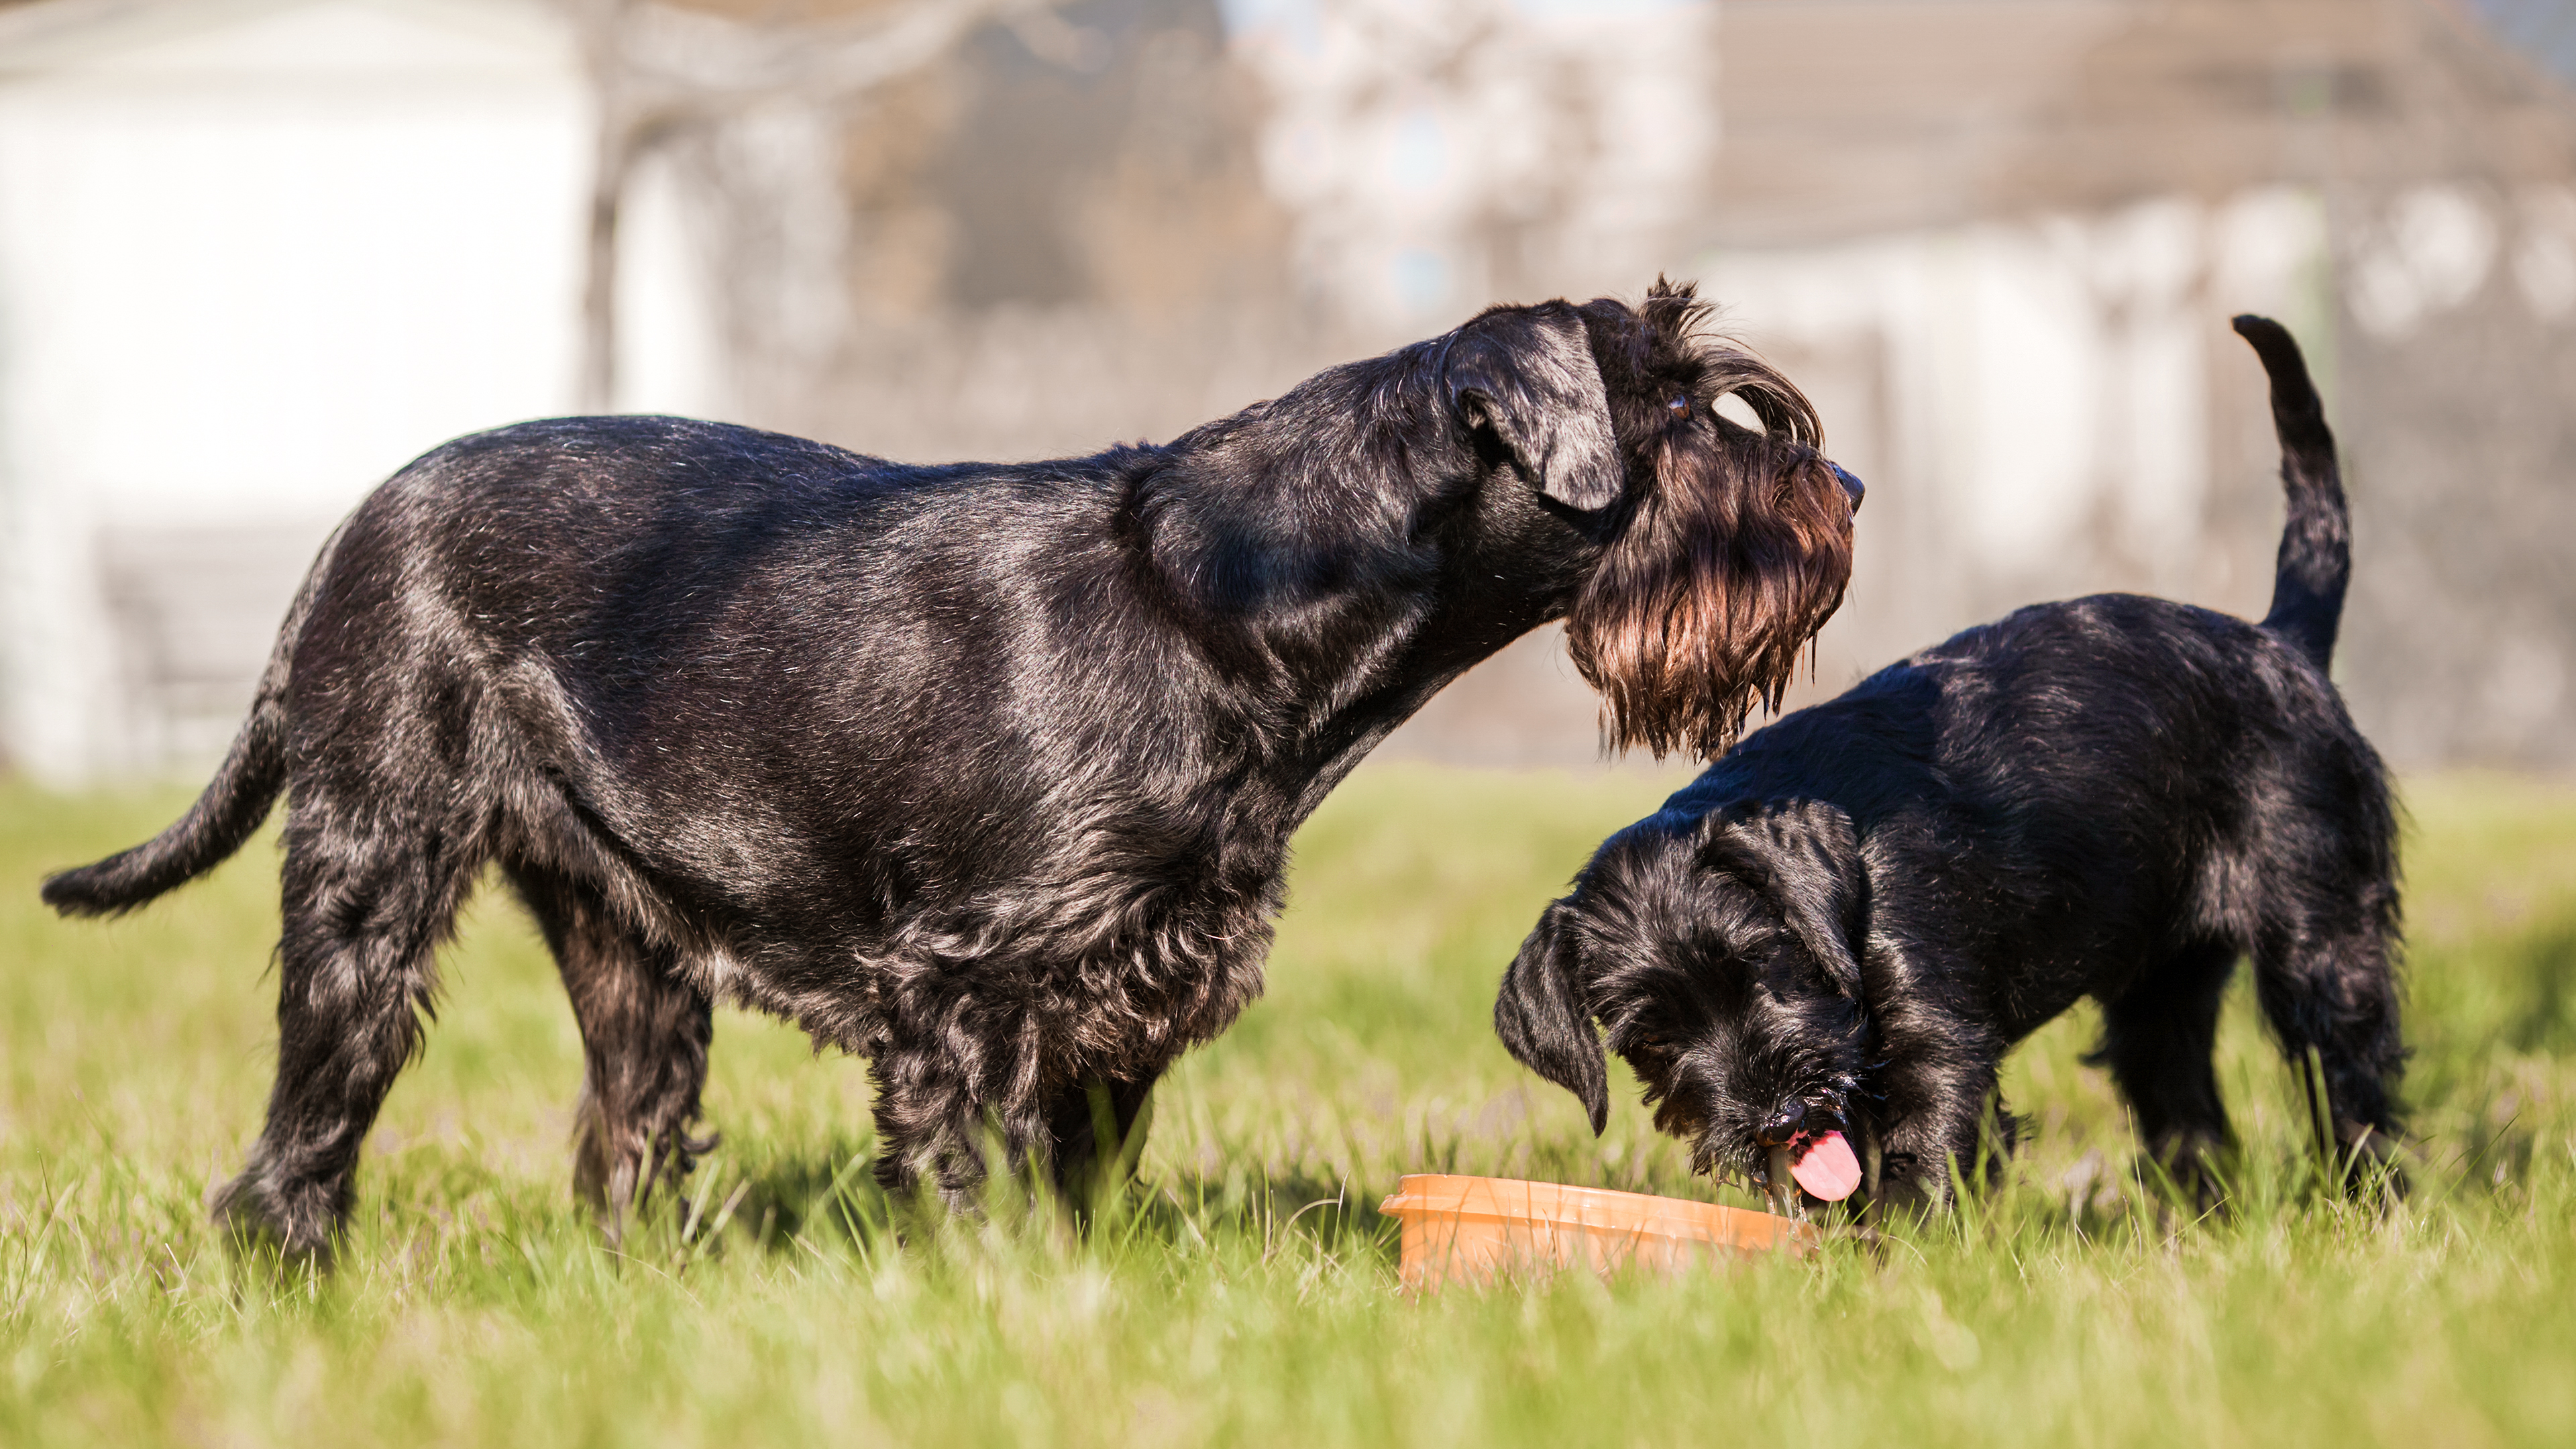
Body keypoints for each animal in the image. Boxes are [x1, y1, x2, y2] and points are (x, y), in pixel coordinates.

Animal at [40, 282, 1854, 1252]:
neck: (1233, 594)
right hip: (370, 886)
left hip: (632, 961)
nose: (1835, 493)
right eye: (1684, 411)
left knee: (622, 1133)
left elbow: (1083, 1184)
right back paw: (288, 1267)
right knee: (305, 1127)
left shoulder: (1120, 998)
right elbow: (960, 1176)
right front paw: (984, 1296)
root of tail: (356, 520)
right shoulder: (959, 987)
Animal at [1504, 315, 2400, 1206]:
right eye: (1652, 1037)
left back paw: (2367, 1200)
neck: (1849, 894)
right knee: (2182, 1098)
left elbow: (1921, 1167)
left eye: (1766, 969)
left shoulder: (1934, 1042)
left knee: (2349, 1073)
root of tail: (2282, 641)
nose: (1779, 1119)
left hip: (2321, 938)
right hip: (2163, 984)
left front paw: (1904, 1239)